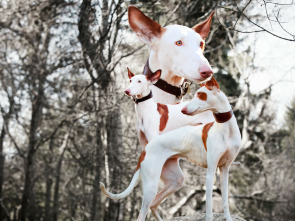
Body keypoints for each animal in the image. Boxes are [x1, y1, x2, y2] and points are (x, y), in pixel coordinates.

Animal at [100, 77, 242, 220]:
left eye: (201, 95)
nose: (183, 110)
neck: (226, 128)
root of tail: (145, 150)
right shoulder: (210, 172)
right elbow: (208, 206)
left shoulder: (224, 169)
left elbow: (225, 201)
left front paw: (228, 218)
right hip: (151, 186)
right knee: (142, 214)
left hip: (175, 181)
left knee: (154, 204)